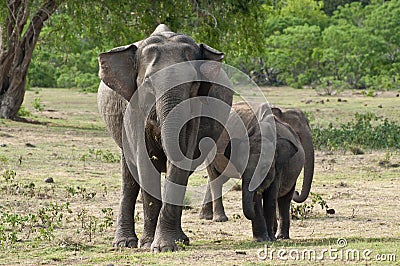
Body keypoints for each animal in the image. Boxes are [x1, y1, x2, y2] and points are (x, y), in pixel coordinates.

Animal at [97, 24, 233, 251]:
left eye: (194, 83)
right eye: (147, 83)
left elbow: (180, 163)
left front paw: (167, 246)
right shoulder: (133, 108)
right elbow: (145, 164)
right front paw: (148, 245)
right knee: (129, 179)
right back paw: (124, 243)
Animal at [200, 102, 306, 241]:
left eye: (264, 167)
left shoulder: (279, 167)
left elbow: (270, 197)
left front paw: (270, 238)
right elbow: (256, 197)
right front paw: (261, 239)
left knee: (285, 199)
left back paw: (281, 236)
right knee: (215, 178)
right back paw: (219, 219)